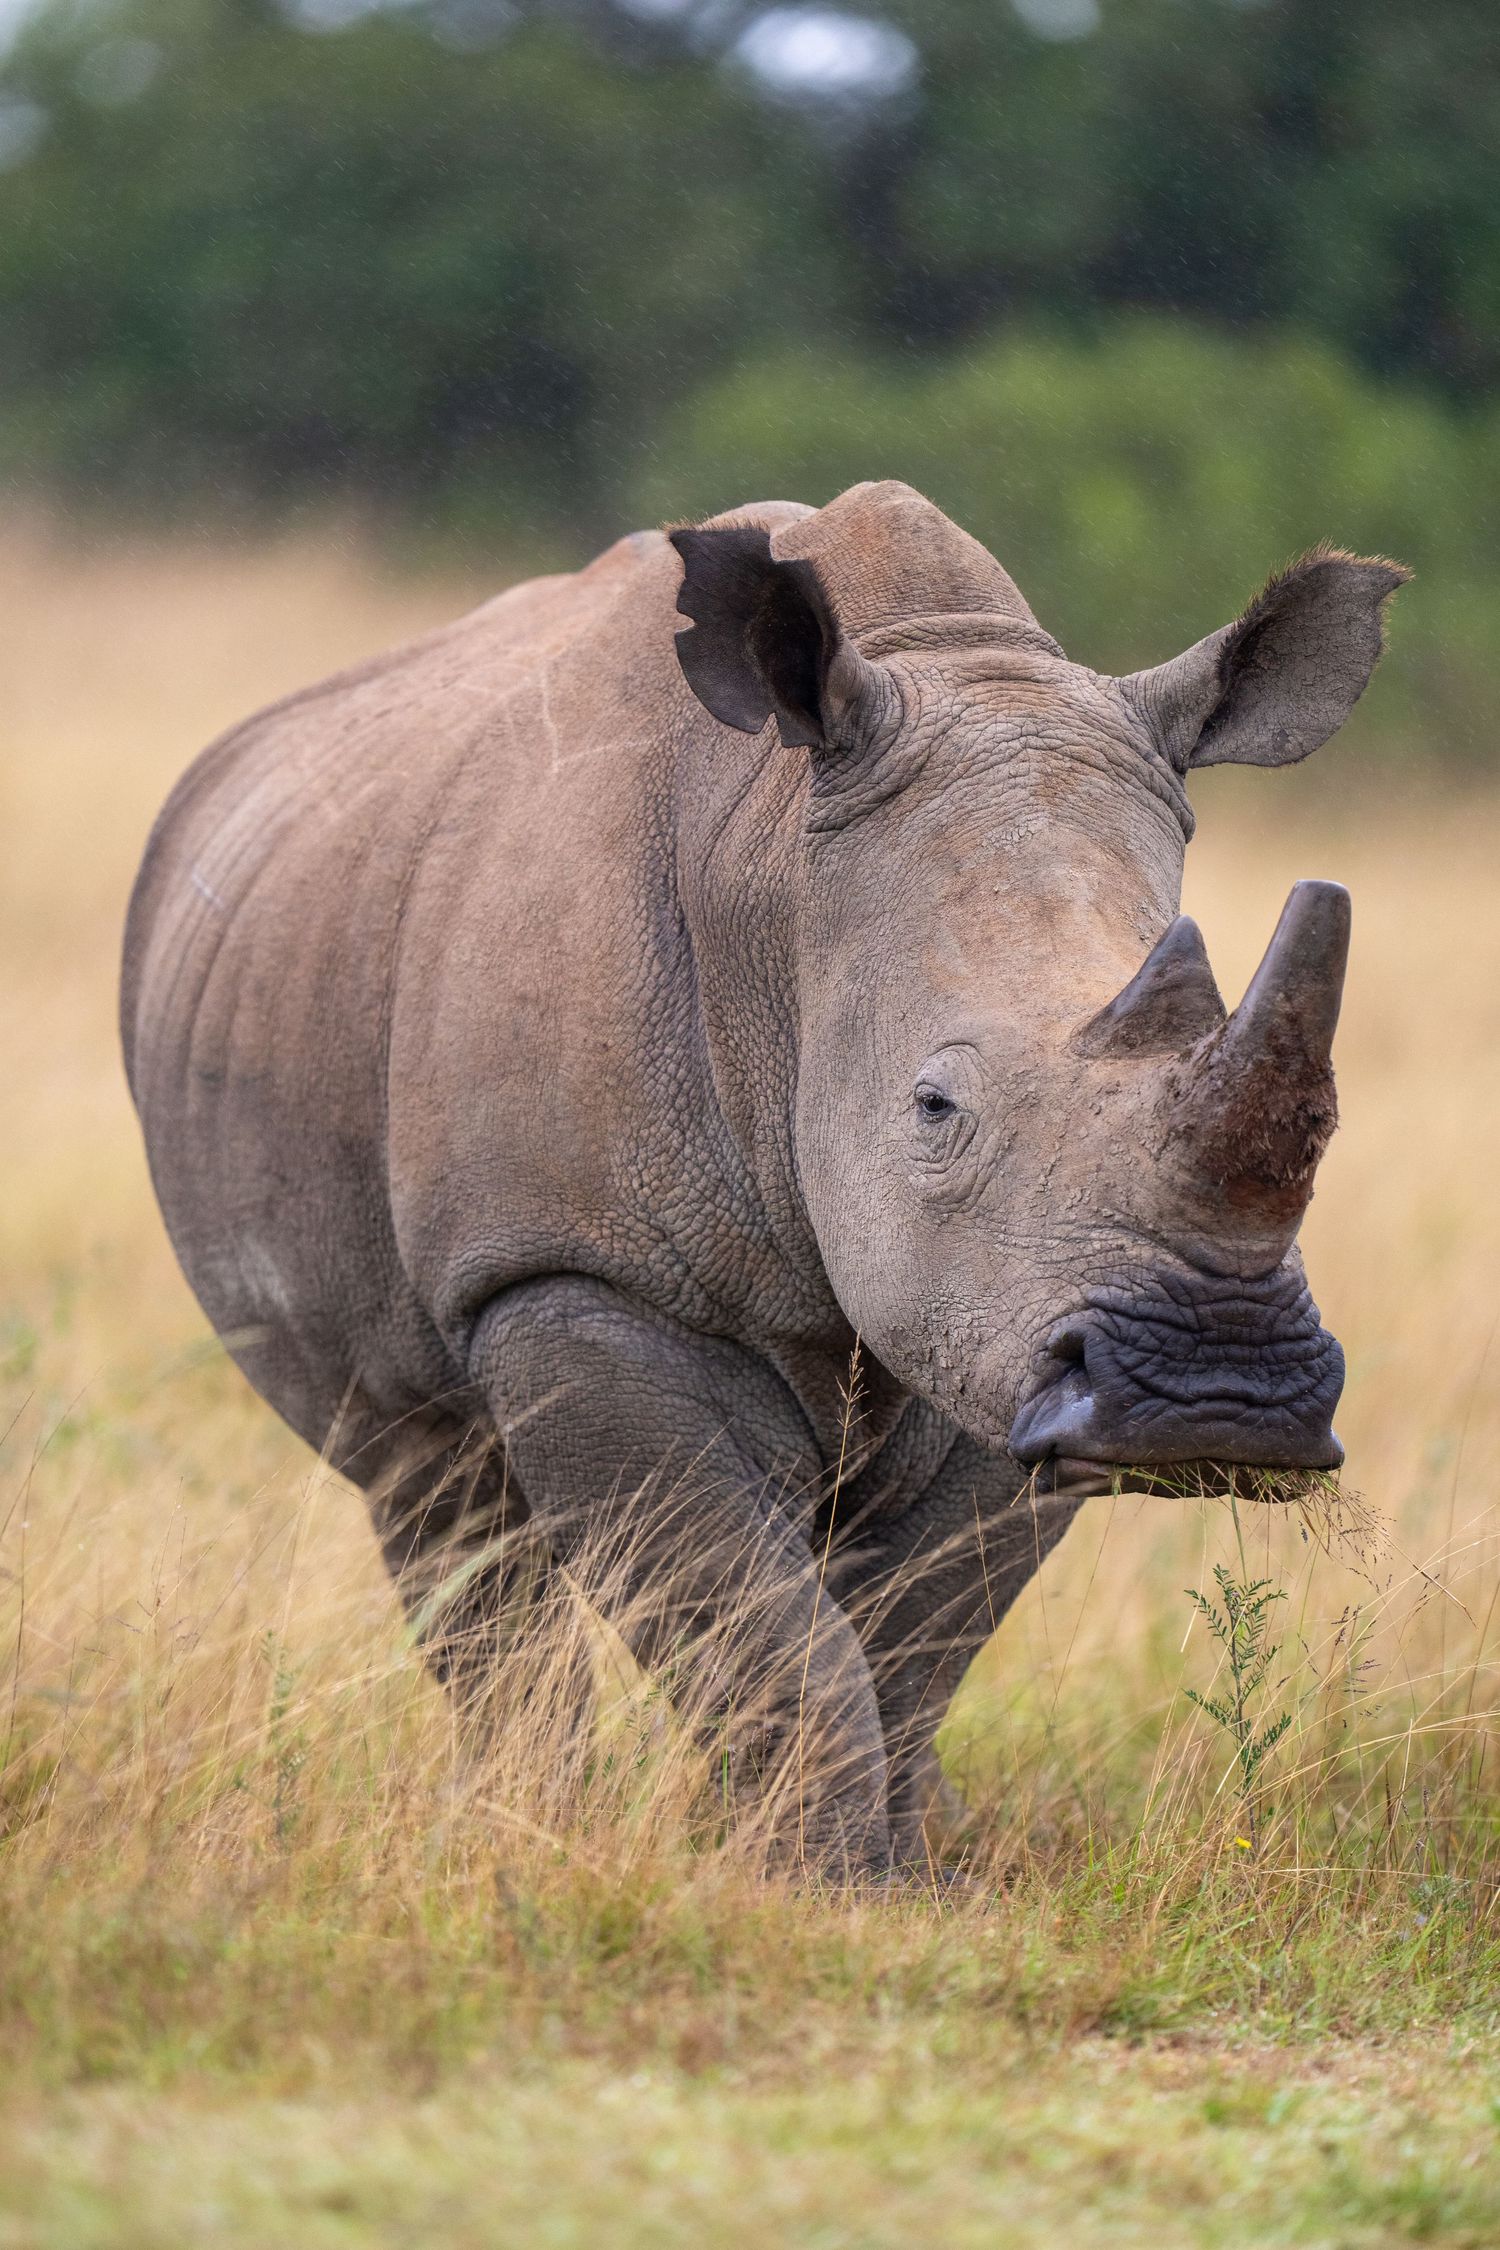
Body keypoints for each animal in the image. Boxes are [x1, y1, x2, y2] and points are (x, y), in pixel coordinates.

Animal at [121, 481, 1406, 1873]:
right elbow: (769, 1640)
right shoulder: (575, 1275)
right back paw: (521, 1826)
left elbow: (909, 1645)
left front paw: (895, 1878)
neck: (779, 883)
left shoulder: (997, 1326)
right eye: (935, 1108)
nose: (1220, 1396)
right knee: (440, 1497)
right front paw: (804, 1880)